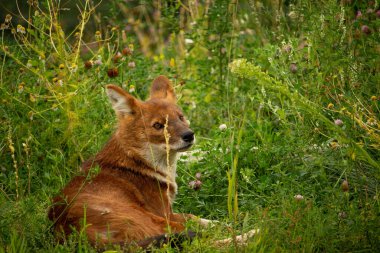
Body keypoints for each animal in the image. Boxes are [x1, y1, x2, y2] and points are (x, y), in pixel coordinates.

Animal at [47, 75, 255, 249]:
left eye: (181, 117)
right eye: (158, 125)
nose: (189, 135)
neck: (140, 161)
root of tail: (72, 230)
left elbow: (201, 219)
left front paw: (234, 219)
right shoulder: (164, 213)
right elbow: (199, 221)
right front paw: (235, 224)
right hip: (149, 220)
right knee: (205, 243)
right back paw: (252, 234)